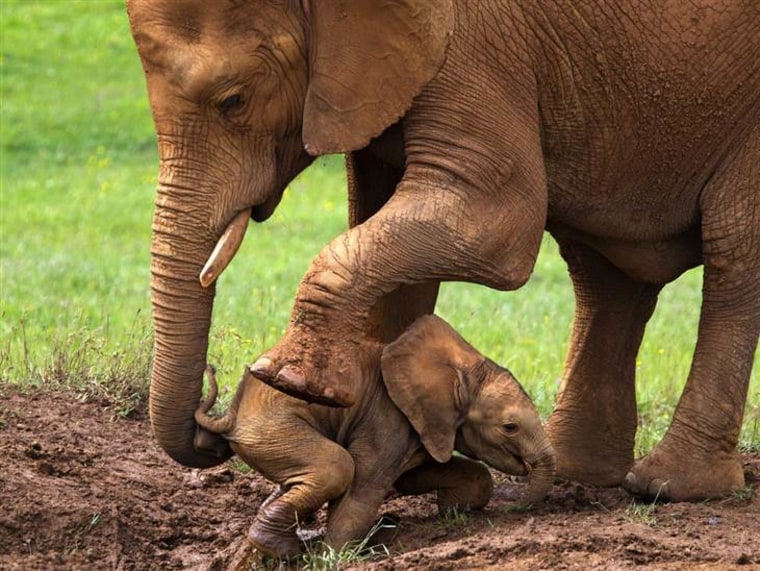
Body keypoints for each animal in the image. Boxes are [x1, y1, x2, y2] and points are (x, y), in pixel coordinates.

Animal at [127, 0, 756, 500]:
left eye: (233, 100)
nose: (211, 433)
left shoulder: (475, 46)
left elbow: (492, 223)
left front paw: (289, 380)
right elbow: (382, 222)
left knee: (733, 251)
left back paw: (670, 486)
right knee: (602, 275)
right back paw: (585, 474)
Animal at [193, 316, 556, 556]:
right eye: (510, 427)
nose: (514, 509)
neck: (462, 371)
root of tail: (230, 415)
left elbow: (416, 475)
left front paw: (453, 509)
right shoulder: (387, 417)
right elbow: (365, 487)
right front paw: (332, 556)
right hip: (272, 427)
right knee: (336, 467)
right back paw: (283, 549)